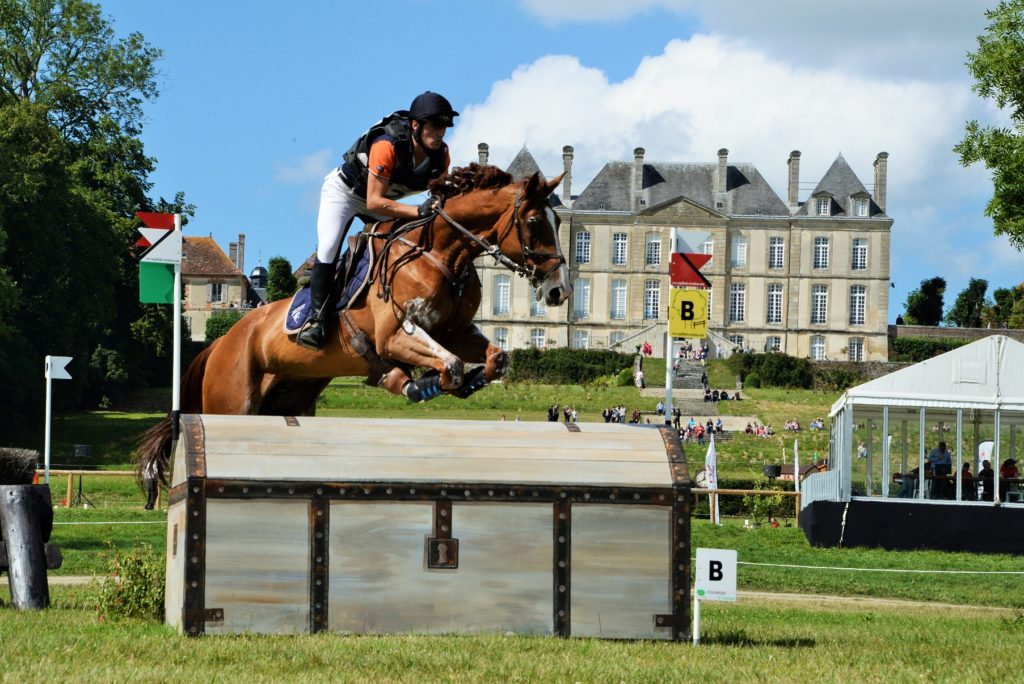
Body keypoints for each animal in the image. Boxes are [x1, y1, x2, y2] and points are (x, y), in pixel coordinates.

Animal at [137, 162, 573, 483]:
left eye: (558, 222)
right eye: (534, 223)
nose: (560, 290)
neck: (443, 255)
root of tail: (220, 343)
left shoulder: (455, 332)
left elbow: (497, 357)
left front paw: (469, 379)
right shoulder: (395, 335)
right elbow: (447, 364)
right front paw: (424, 384)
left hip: (288, 402)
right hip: (232, 403)